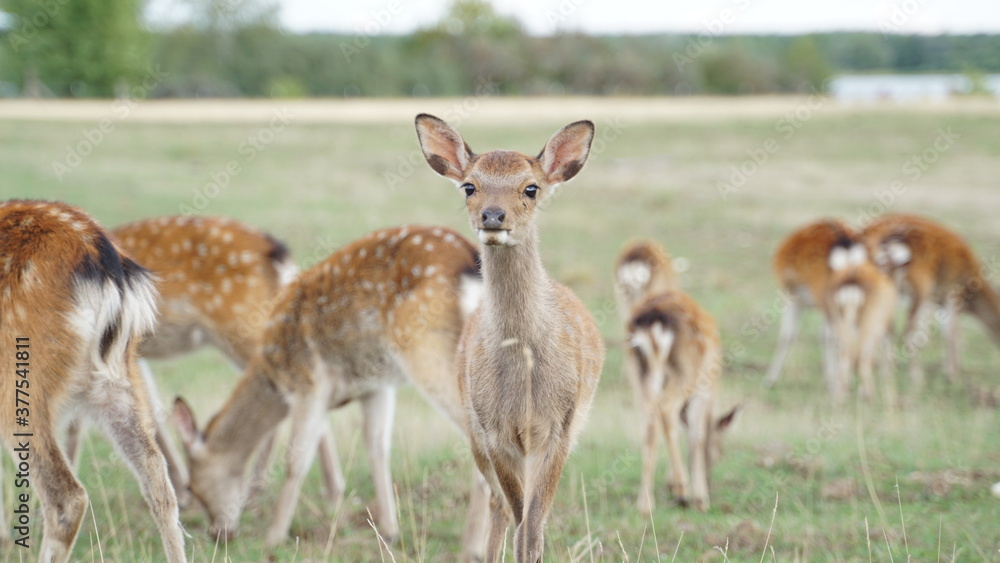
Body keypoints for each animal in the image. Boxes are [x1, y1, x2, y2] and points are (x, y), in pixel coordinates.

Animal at [171, 225, 488, 556]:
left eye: (191, 486)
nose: (218, 534)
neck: (274, 375)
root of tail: (469, 261)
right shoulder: (376, 384)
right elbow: (376, 445)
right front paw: (389, 530)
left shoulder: (308, 382)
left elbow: (296, 459)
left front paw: (274, 539)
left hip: (423, 345)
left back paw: (472, 547)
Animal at [416, 112, 604, 560]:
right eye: (470, 185)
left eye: (530, 188)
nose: (493, 216)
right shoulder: (494, 431)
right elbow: (519, 517)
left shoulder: (559, 426)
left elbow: (533, 526)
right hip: (472, 428)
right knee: (497, 502)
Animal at [628, 290, 740, 516]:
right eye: (720, 450)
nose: (710, 481)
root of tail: (654, 318)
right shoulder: (705, 390)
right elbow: (697, 435)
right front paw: (700, 498)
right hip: (686, 370)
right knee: (666, 409)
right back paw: (682, 488)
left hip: (639, 371)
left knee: (650, 419)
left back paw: (645, 504)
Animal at [860, 213, 1000, 388]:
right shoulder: (952, 293)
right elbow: (952, 336)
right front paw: (954, 379)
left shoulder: (940, 300)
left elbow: (947, 334)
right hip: (920, 285)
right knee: (908, 333)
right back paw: (916, 382)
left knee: (885, 329)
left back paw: (885, 378)